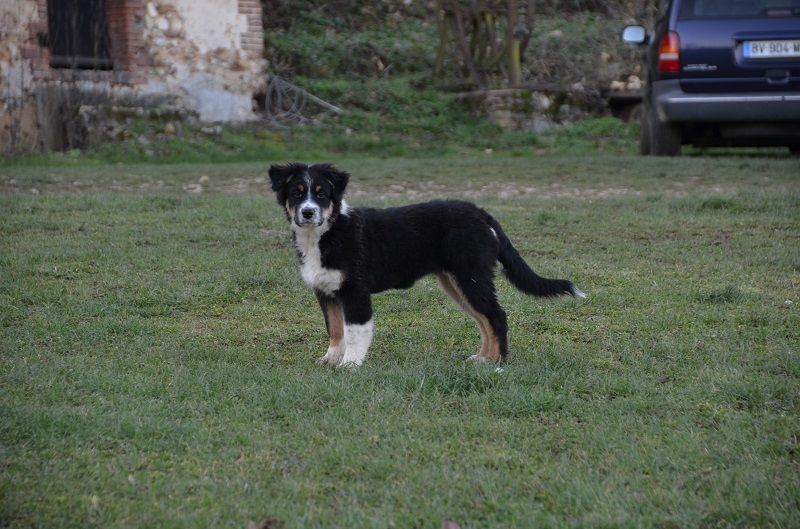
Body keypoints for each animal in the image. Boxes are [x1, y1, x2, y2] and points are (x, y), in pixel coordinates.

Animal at [266, 163, 584, 366]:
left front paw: (350, 365)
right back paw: (482, 358)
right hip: (457, 282)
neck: (326, 234)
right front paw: (330, 359)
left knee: (496, 316)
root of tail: (480, 212)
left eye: (321, 193)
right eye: (297, 193)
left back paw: (498, 362)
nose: (308, 212)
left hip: (471, 276)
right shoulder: (326, 291)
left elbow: (355, 331)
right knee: (483, 319)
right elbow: (335, 330)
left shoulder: (355, 291)